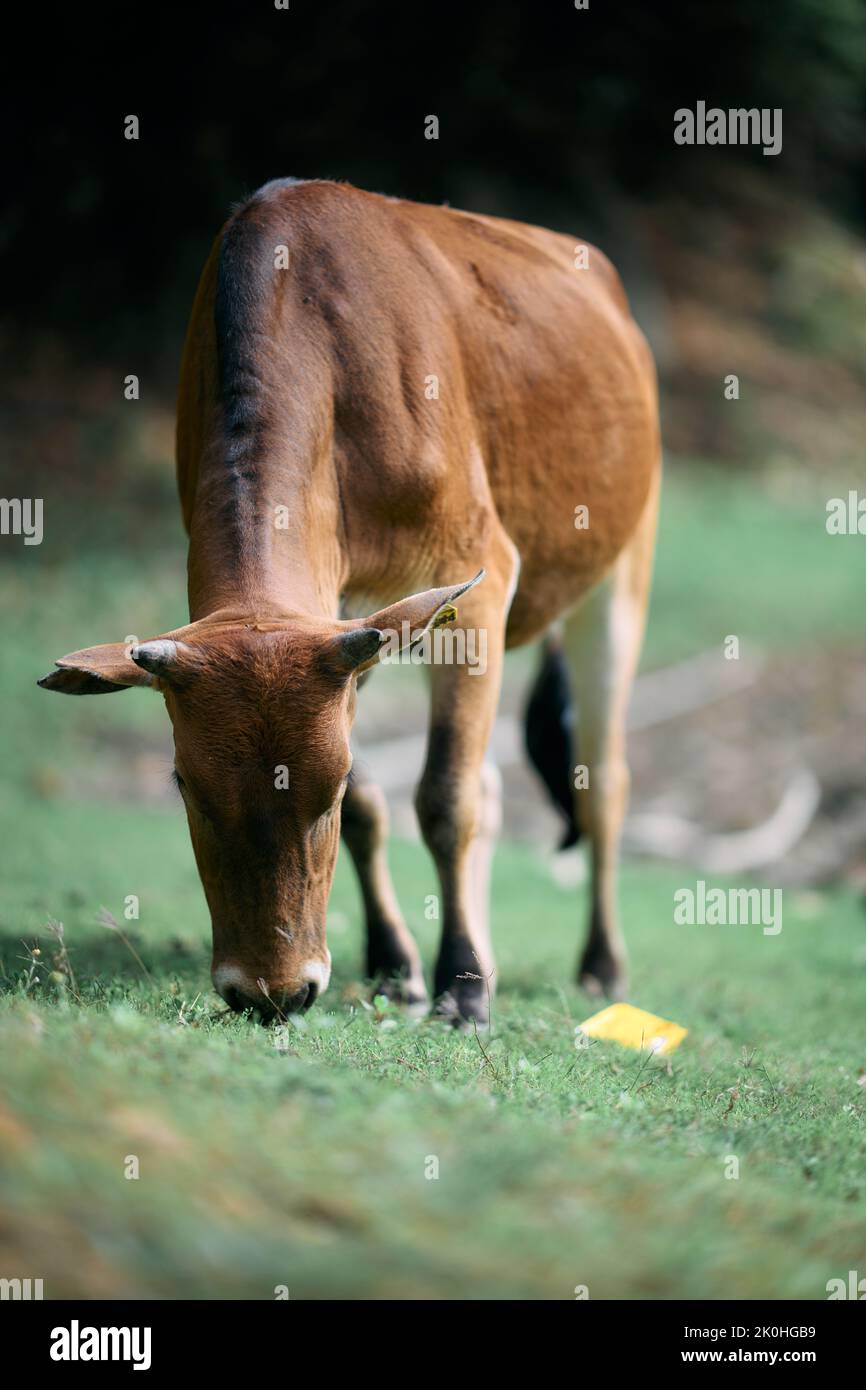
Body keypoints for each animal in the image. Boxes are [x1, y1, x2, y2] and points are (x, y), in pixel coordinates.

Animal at [39, 178, 661, 1026]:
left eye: (322, 791)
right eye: (185, 786)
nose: (272, 992)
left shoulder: (477, 581)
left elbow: (445, 797)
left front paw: (462, 987)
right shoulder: (347, 622)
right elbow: (382, 803)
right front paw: (399, 967)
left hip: (622, 571)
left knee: (604, 782)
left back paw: (600, 965)